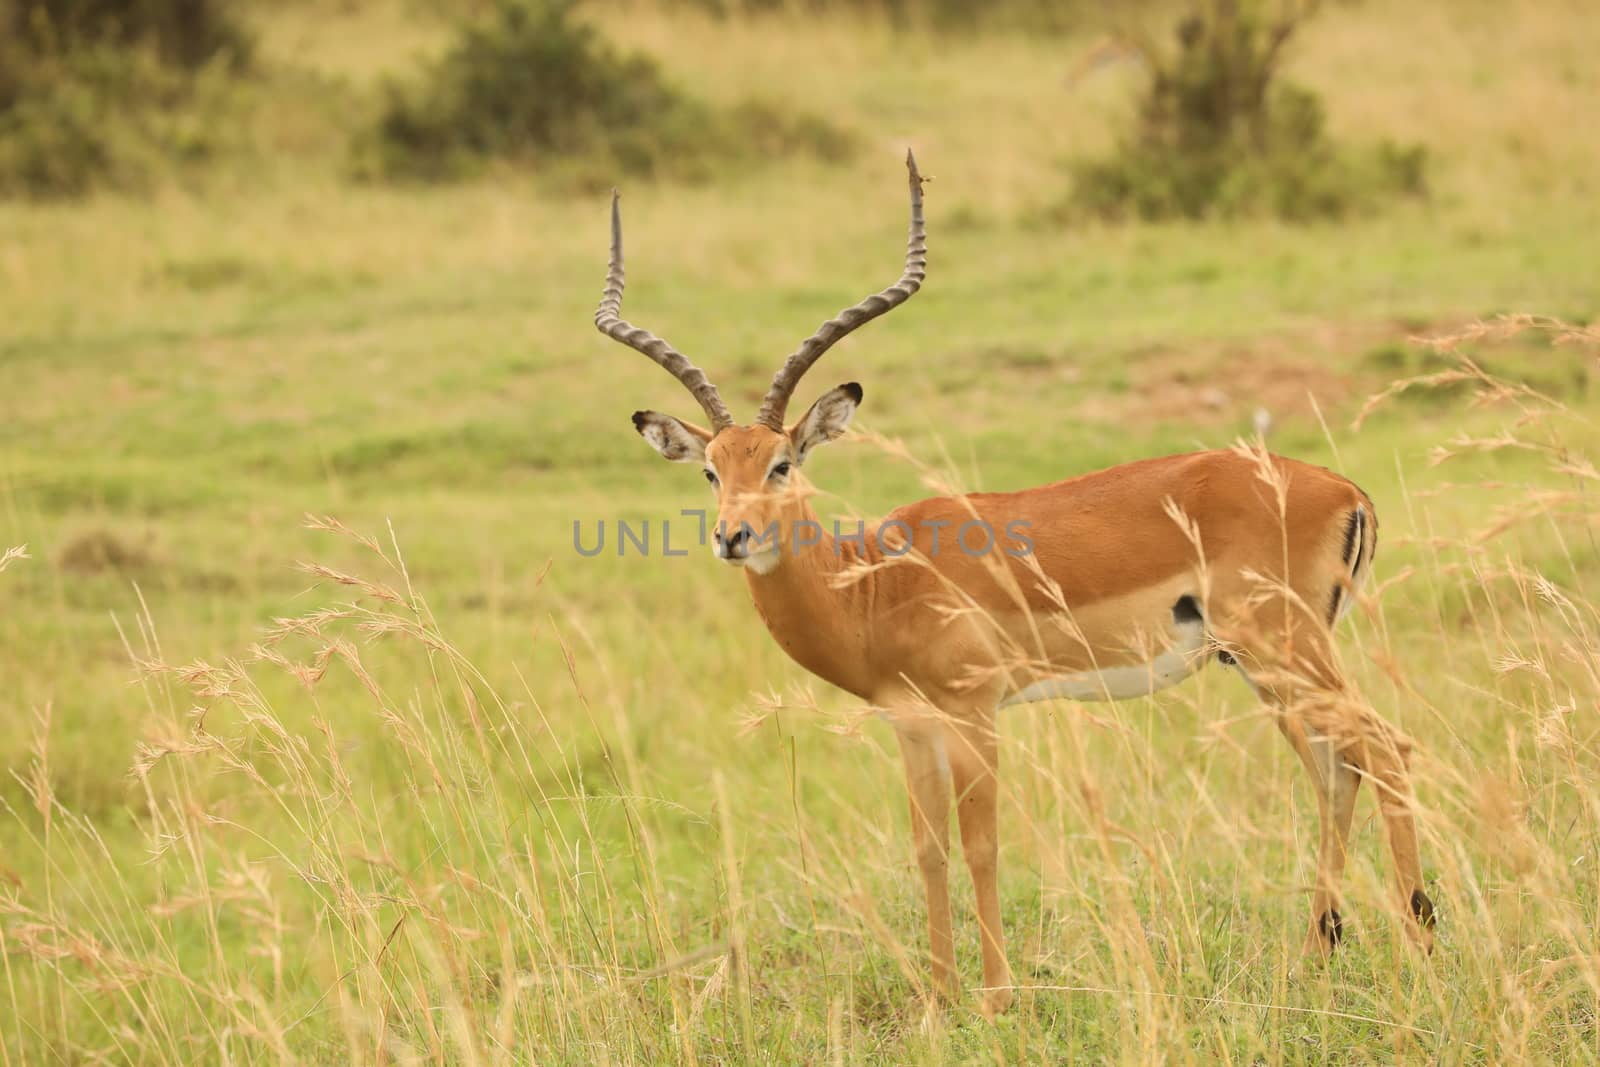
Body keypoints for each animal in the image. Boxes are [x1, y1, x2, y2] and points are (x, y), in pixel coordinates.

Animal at [598, 151, 1440, 1017]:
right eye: (709, 468)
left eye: (782, 463)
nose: (733, 536)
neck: (873, 583)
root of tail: (1345, 490)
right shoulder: (912, 724)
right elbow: (929, 849)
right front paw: (939, 1000)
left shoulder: (976, 712)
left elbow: (983, 844)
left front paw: (997, 997)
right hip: (1266, 666)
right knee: (1336, 768)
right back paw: (1315, 953)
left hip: (1286, 649)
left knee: (1386, 745)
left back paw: (1420, 939)